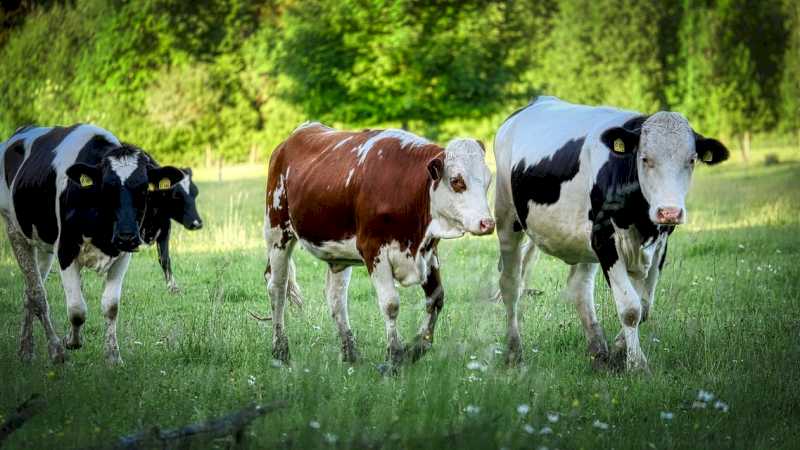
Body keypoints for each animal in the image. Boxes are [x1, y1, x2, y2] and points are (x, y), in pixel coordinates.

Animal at [0, 125, 184, 364]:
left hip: (43, 246)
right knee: (37, 293)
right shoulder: (65, 250)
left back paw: (25, 350)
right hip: (14, 230)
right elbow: (77, 309)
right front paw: (72, 342)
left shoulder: (123, 255)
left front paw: (113, 356)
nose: (127, 236)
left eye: (144, 190)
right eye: (106, 189)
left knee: (29, 292)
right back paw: (54, 350)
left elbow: (111, 306)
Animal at [138, 151, 202, 292]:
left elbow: (164, 258)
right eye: (176, 195)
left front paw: (173, 287)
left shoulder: (165, 227)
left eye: (195, 192)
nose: (197, 223)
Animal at [266, 122, 494, 366]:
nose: (488, 223)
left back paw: (350, 354)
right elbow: (391, 304)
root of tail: (297, 133)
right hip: (276, 232)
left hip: (337, 253)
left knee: (336, 297)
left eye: (488, 180)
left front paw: (416, 348)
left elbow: (436, 298)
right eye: (457, 181)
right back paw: (280, 350)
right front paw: (394, 357)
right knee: (277, 288)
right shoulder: (374, 250)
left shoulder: (429, 252)